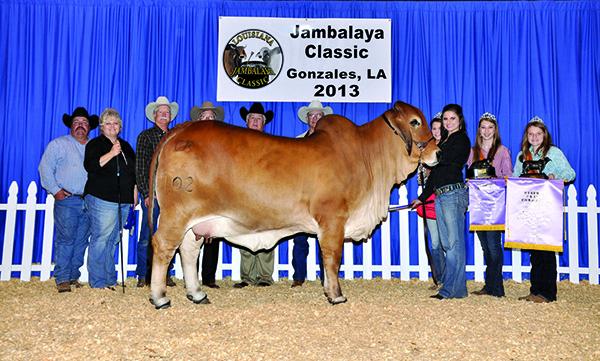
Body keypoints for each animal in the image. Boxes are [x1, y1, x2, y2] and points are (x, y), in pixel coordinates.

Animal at [148, 100, 438, 306]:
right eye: (414, 121)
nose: (437, 151)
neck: (366, 155)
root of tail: (180, 129)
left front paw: (329, 291)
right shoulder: (333, 219)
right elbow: (332, 257)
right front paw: (336, 295)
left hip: (194, 223)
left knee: (188, 251)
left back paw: (197, 294)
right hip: (177, 213)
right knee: (163, 246)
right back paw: (160, 297)